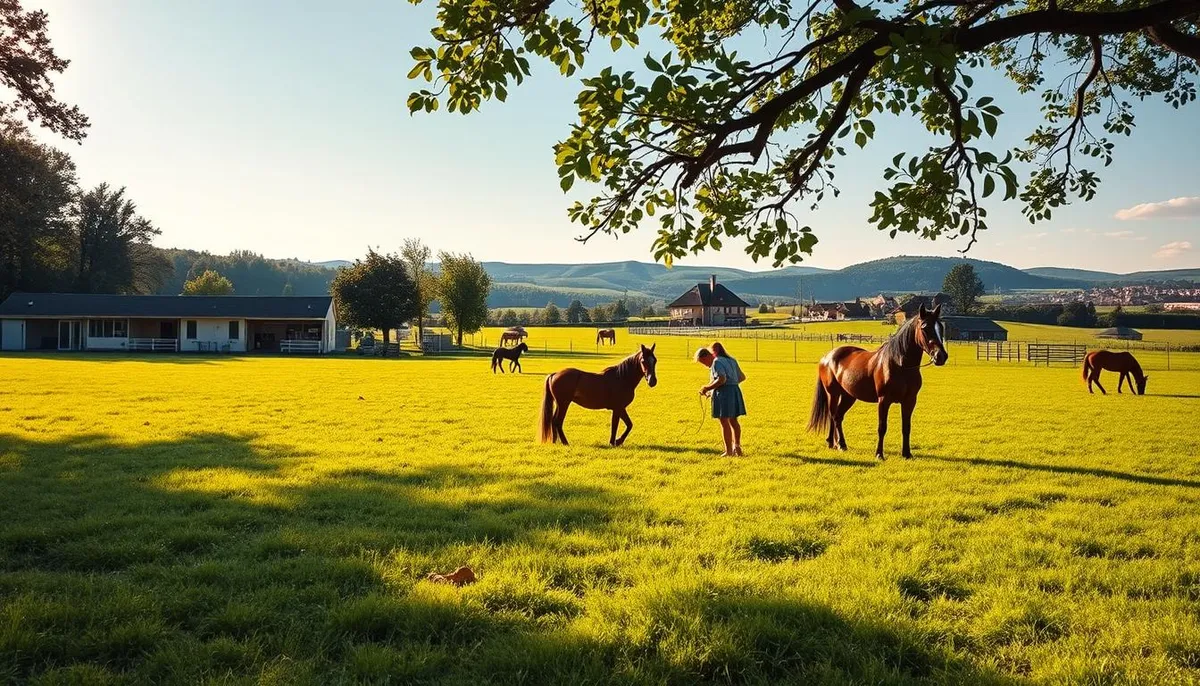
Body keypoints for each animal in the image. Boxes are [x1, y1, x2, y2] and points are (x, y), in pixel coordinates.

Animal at [807, 304, 948, 460]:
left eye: (940, 327)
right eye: (925, 327)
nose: (941, 356)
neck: (899, 364)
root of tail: (827, 357)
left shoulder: (910, 401)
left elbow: (906, 427)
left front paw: (906, 453)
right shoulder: (884, 400)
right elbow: (882, 427)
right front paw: (879, 454)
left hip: (848, 396)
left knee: (837, 417)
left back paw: (837, 444)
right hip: (833, 394)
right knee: (832, 416)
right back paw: (836, 443)